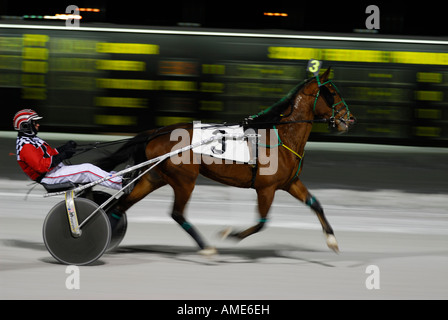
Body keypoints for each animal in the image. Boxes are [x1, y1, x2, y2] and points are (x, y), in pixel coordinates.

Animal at [96, 68, 356, 255]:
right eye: (332, 92)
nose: (350, 119)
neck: (282, 137)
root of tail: (156, 132)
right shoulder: (266, 188)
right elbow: (262, 222)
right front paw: (230, 235)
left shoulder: (290, 182)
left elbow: (315, 204)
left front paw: (332, 240)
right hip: (184, 180)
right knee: (177, 213)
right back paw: (206, 247)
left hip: (153, 177)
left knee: (121, 206)